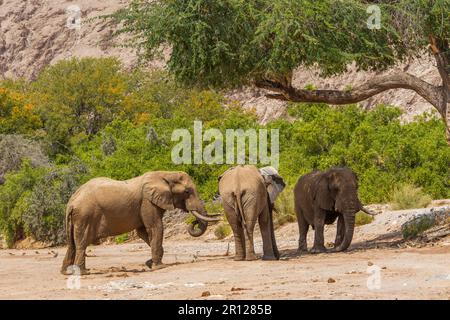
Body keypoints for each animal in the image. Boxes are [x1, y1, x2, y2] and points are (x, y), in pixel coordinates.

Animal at [61, 171, 220, 274]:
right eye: (187, 191)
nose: (193, 221)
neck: (164, 174)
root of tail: (72, 202)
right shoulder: (147, 202)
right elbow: (155, 228)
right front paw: (159, 267)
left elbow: (143, 232)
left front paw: (150, 263)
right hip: (85, 216)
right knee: (81, 243)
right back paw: (83, 272)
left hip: (75, 219)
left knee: (72, 244)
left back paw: (66, 272)